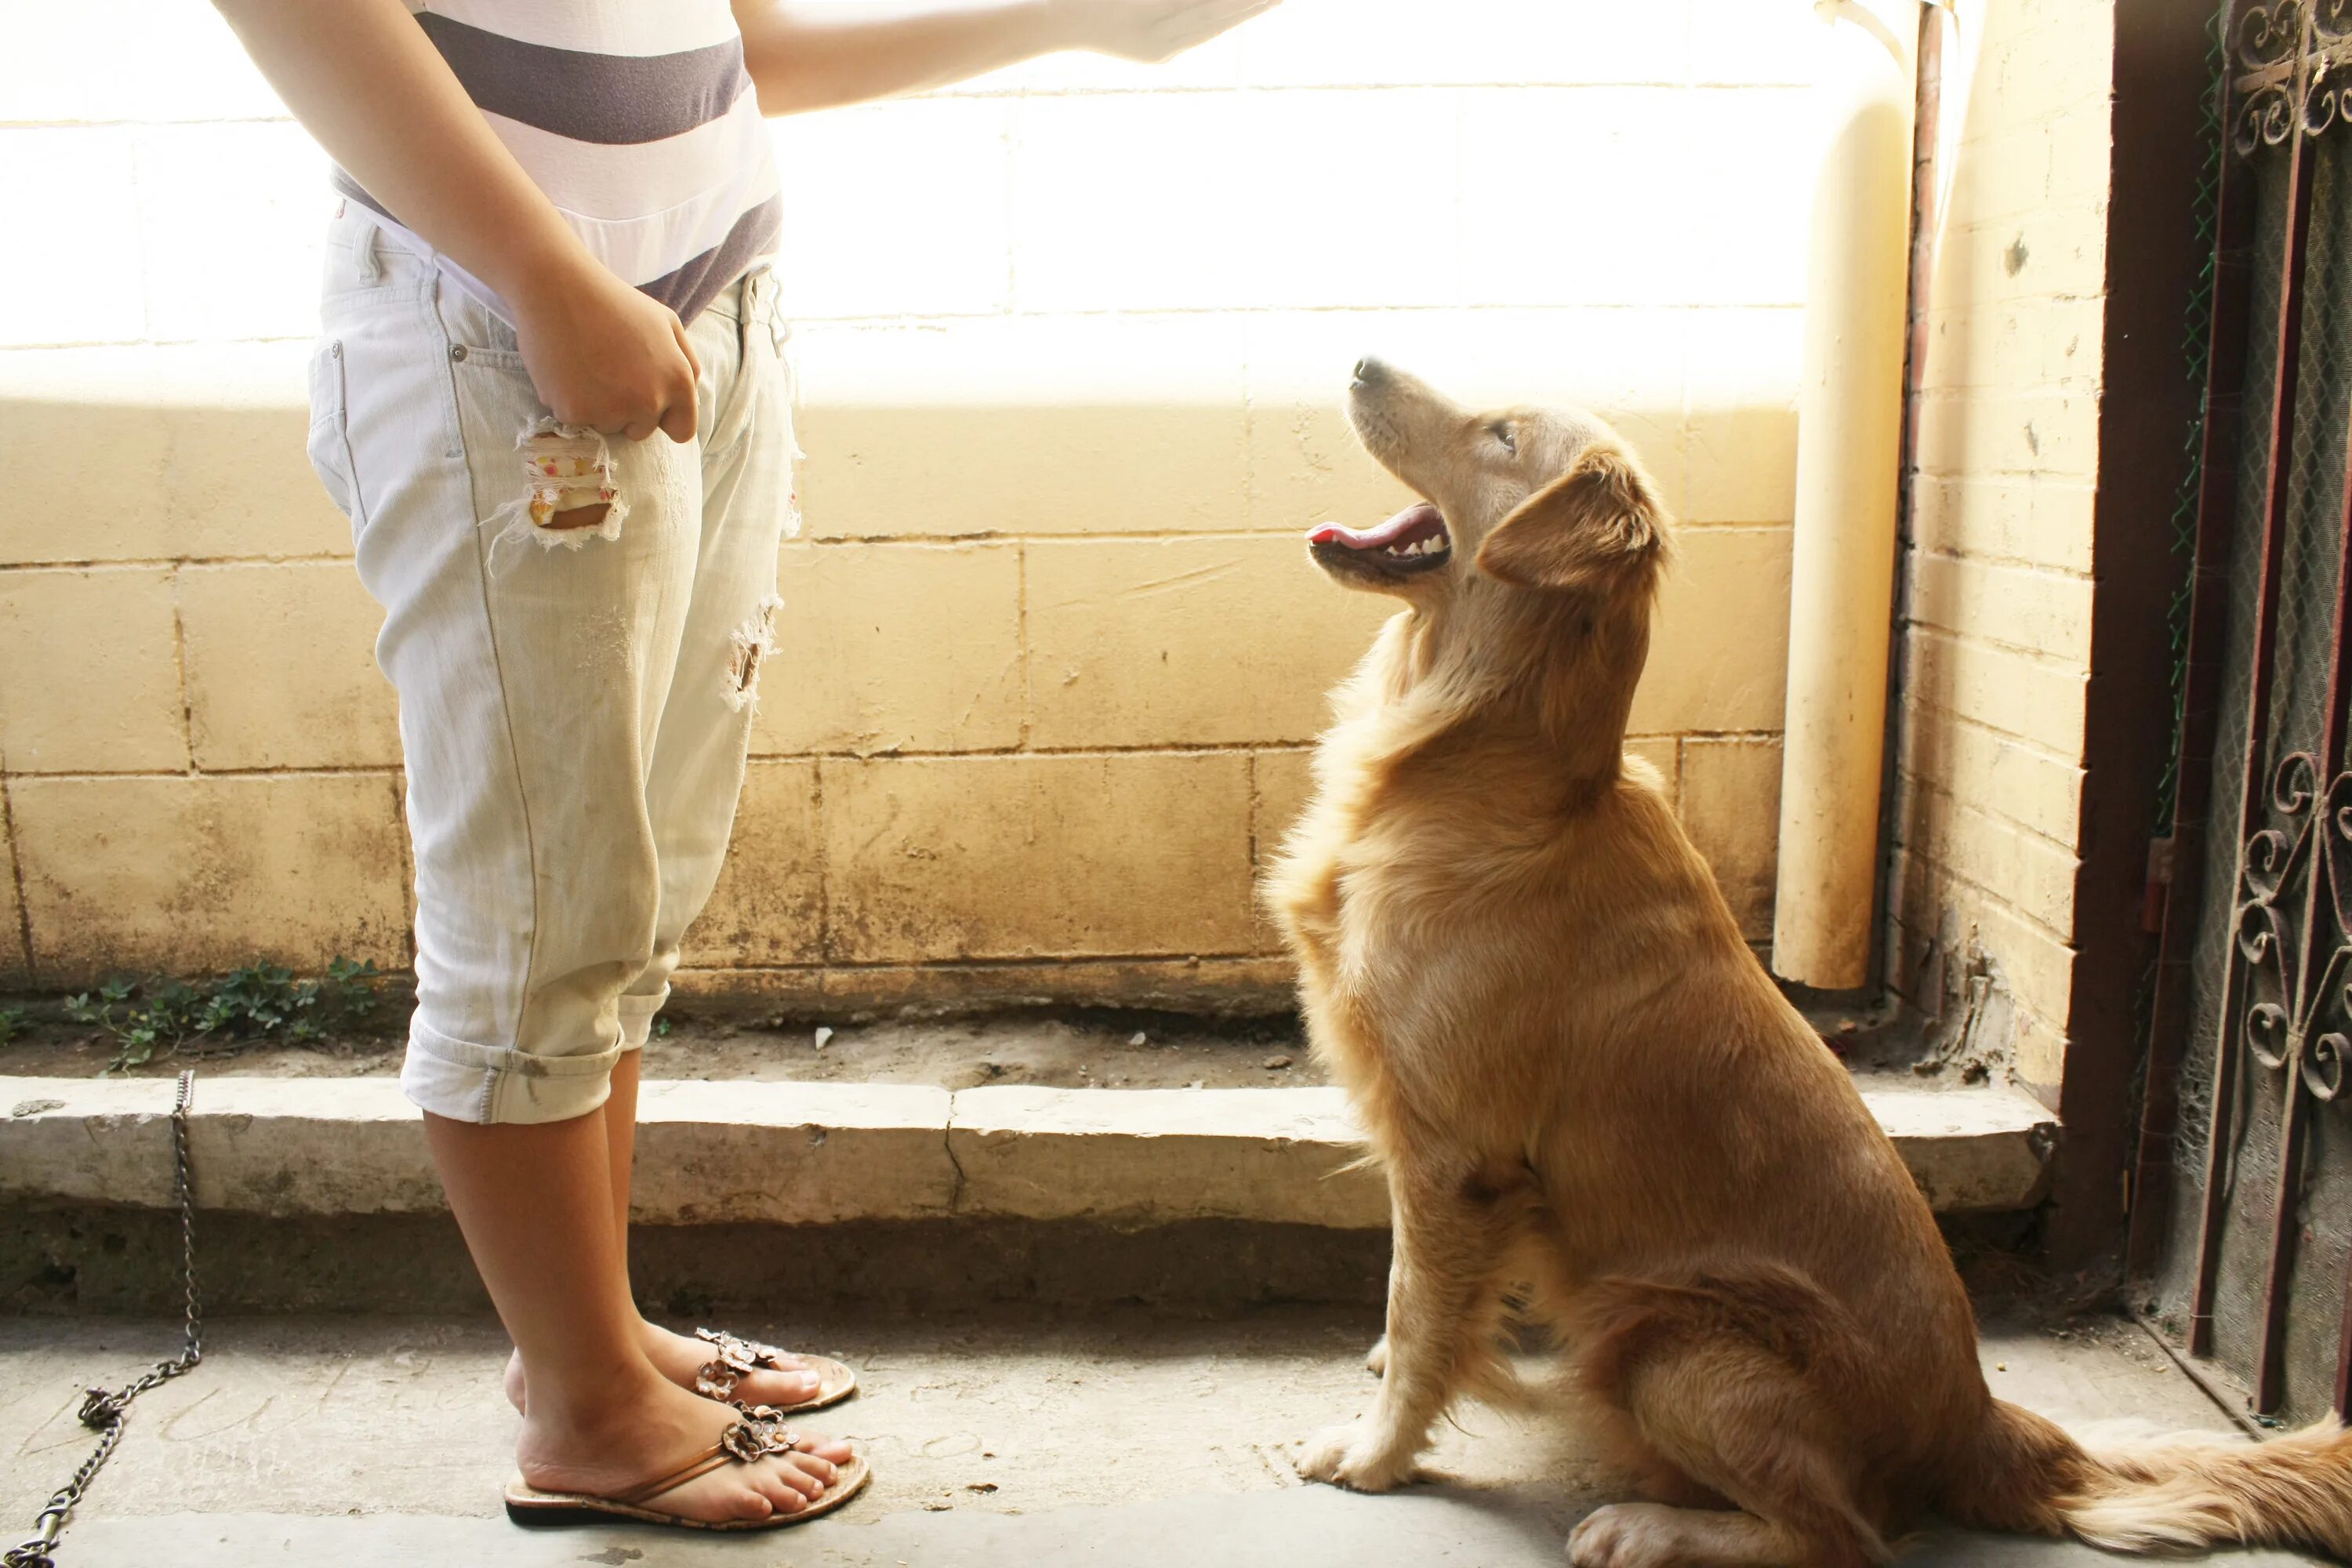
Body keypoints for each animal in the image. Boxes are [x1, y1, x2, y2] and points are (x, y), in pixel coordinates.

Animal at [1279, 361, 2352, 1561]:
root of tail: (1977, 1419)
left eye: (1501, 434)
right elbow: (1417, 1294)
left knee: (1839, 1534)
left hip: (1669, 1339)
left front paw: (1375, 1451)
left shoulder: (1456, 1154)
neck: (1492, 767)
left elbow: (1422, 1315)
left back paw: (1648, 1524)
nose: (1360, 362)